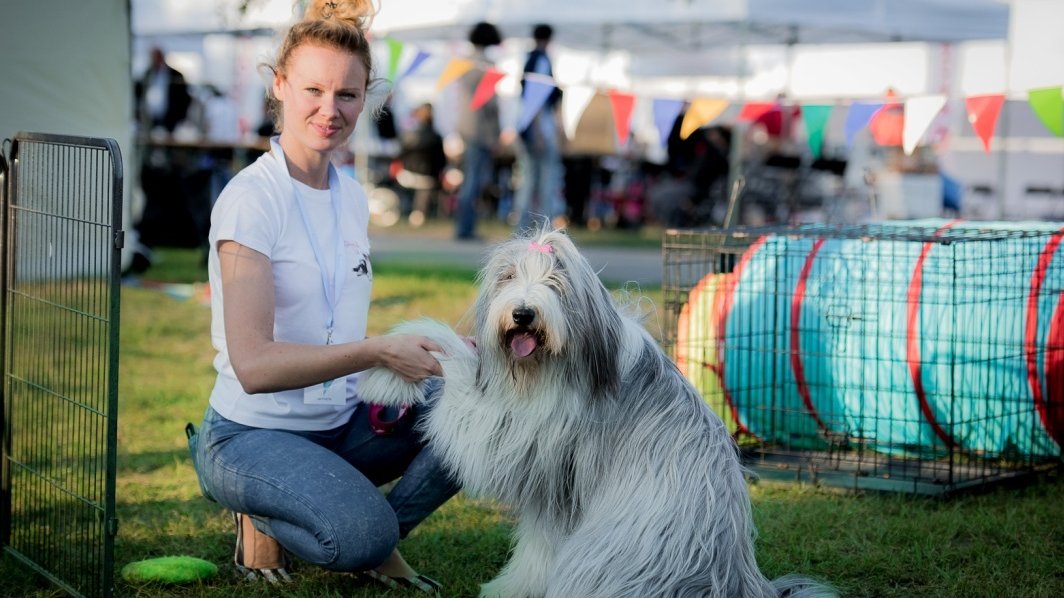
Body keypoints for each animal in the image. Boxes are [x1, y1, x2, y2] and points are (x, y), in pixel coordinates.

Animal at [357, 227, 829, 595]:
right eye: (508, 277)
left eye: (556, 280)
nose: (523, 313)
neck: (550, 363)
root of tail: (734, 582)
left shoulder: (529, 440)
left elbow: (452, 360)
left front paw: (390, 369)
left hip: (605, 554)